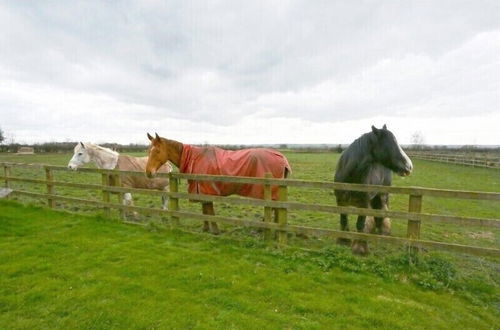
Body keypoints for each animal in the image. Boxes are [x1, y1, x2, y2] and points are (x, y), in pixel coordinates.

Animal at [145, 133, 292, 233]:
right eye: (148, 150)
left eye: (157, 150)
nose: (148, 172)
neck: (195, 158)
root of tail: (282, 157)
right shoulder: (201, 191)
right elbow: (205, 211)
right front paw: (205, 229)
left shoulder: (207, 191)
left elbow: (210, 211)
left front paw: (215, 230)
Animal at [334, 125, 412, 254]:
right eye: (391, 144)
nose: (409, 166)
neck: (351, 177)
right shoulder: (340, 201)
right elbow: (343, 220)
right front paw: (343, 240)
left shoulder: (364, 204)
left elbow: (360, 224)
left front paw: (360, 247)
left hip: (382, 195)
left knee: (381, 211)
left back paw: (382, 230)